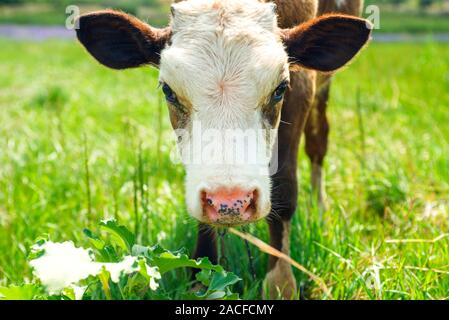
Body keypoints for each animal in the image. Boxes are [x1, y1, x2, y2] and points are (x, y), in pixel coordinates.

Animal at [76, 0, 372, 298]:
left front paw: (281, 283)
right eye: (168, 91)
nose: (231, 202)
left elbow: (285, 186)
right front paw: (201, 277)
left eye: (279, 89)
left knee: (318, 142)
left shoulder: (303, 84)